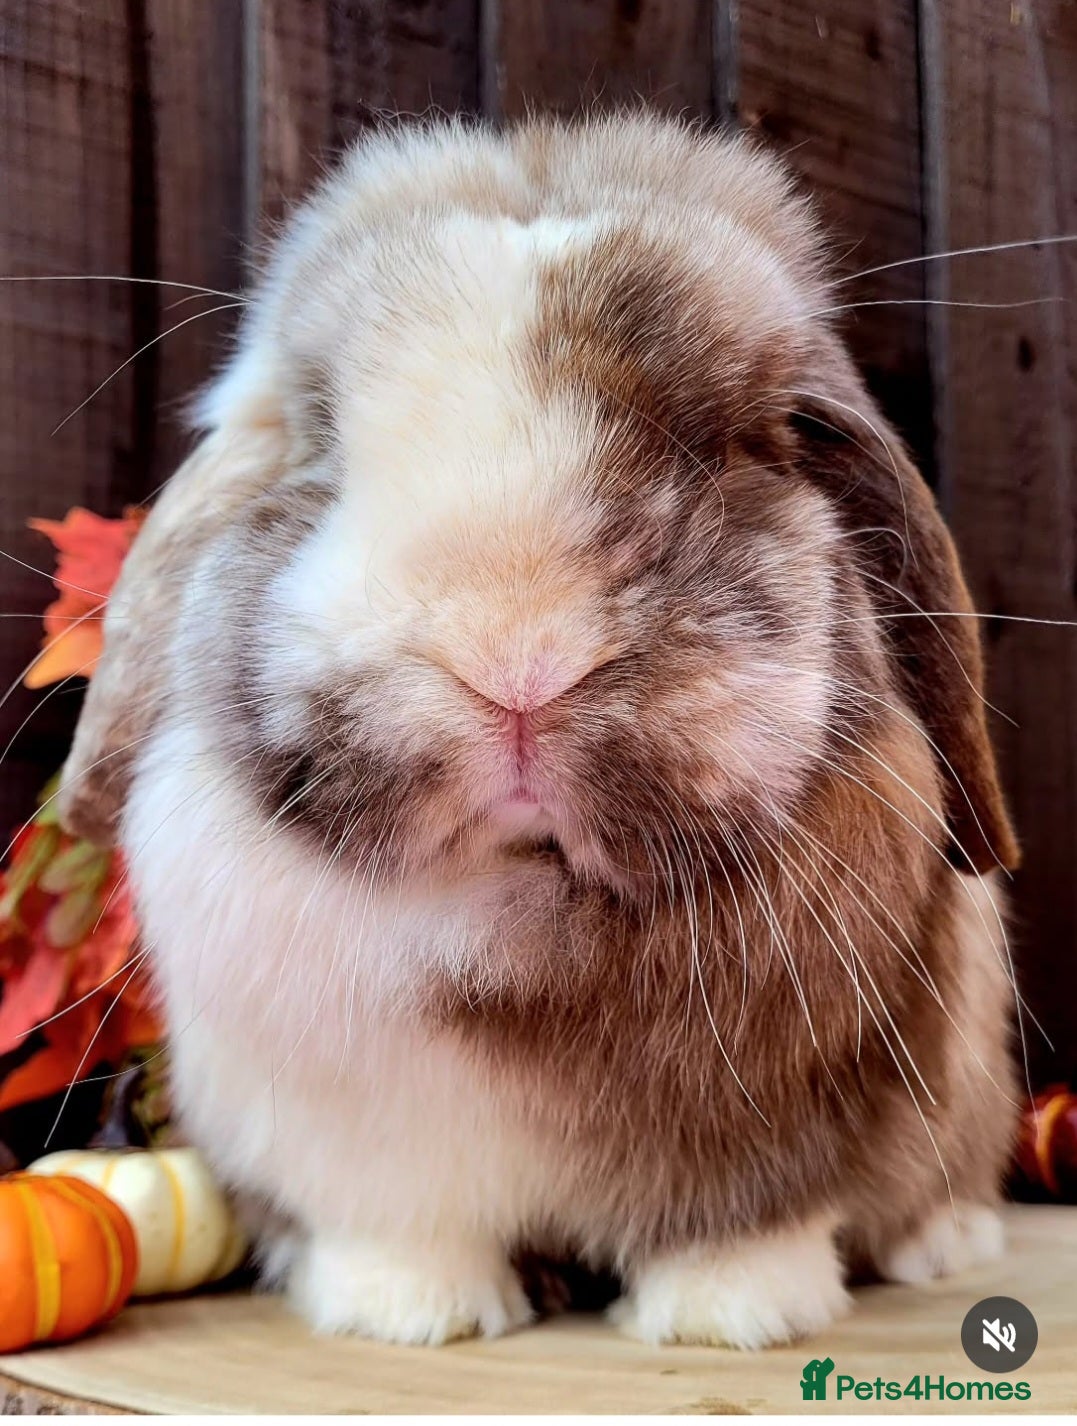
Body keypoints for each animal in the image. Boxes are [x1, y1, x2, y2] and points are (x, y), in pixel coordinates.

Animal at [59, 112, 1021, 1349]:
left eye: (736, 444)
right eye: (322, 446)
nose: (517, 660)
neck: (513, 917)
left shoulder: (781, 1140)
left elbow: (746, 1232)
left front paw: (726, 1320)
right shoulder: (357, 1156)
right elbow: (401, 1230)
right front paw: (410, 1316)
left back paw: (944, 1243)